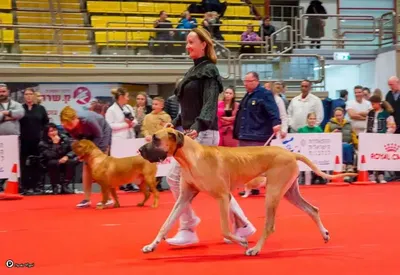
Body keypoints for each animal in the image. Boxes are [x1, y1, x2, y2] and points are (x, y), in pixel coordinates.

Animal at [139, 129, 358, 256]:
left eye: (156, 139)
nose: (140, 150)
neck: (192, 157)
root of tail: (291, 153)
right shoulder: (184, 197)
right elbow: (166, 224)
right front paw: (151, 245)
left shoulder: (223, 197)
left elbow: (225, 229)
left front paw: (242, 241)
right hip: (289, 193)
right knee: (313, 210)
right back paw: (325, 234)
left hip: (273, 194)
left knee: (270, 226)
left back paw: (254, 249)